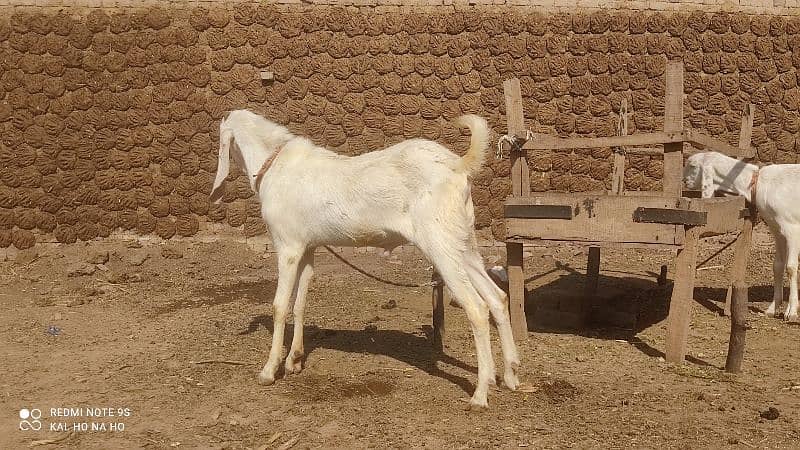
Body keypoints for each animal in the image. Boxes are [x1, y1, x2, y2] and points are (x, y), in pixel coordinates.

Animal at [209, 108, 520, 408]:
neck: (275, 163)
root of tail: (457, 166)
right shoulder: (307, 247)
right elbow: (300, 303)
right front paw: (294, 360)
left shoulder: (287, 247)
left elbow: (280, 306)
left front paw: (269, 369)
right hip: (463, 244)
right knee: (497, 298)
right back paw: (509, 375)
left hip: (440, 245)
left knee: (477, 308)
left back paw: (480, 395)